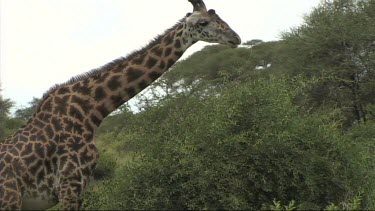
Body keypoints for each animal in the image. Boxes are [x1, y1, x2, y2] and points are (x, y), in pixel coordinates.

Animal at [0, 0, 241, 209]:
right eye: (203, 23)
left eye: (220, 16)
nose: (236, 38)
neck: (90, 110)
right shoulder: (70, 186)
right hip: (11, 201)